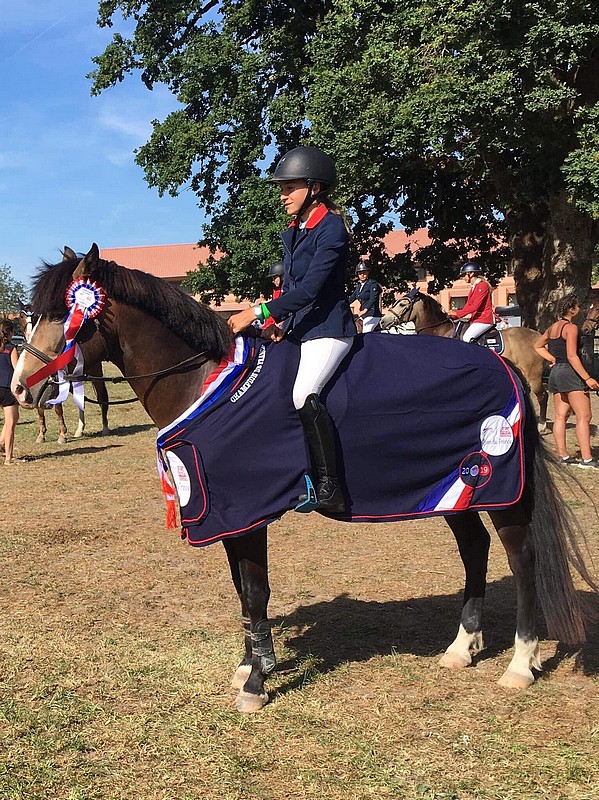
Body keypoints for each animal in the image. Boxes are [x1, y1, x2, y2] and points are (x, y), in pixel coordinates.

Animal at [382, 290, 552, 432]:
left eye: (402, 304)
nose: (383, 321)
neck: (440, 331)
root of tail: (538, 336)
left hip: (534, 375)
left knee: (543, 396)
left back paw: (542, 426)